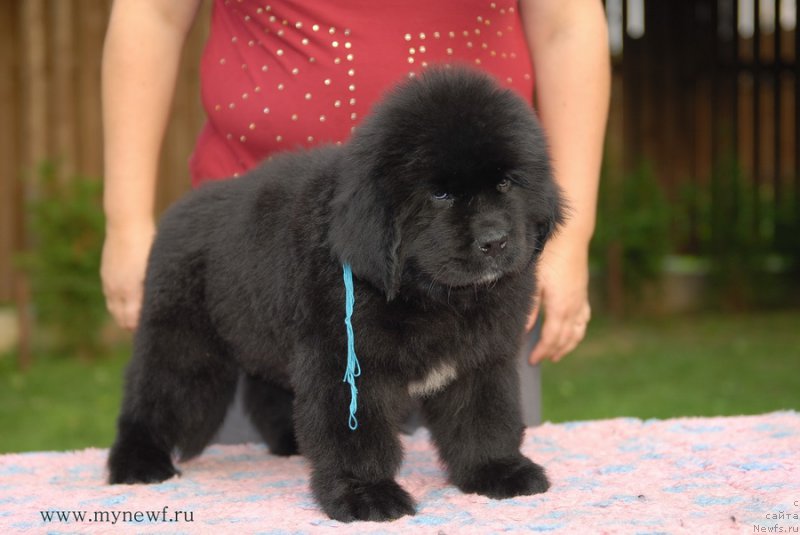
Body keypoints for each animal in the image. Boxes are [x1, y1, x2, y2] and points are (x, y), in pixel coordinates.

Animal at [108, 65, 564, 520]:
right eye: (440, 194)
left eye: (505, 183)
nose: (495, 241)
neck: (429, 295)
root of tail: (175, 211)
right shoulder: (344, 363)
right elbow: (356, 436)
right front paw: (366, 495)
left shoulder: (480, 359)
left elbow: (484, 418)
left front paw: (497, 471)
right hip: (185, 345)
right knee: (156, 396)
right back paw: (137, 464)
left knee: (267, 390)